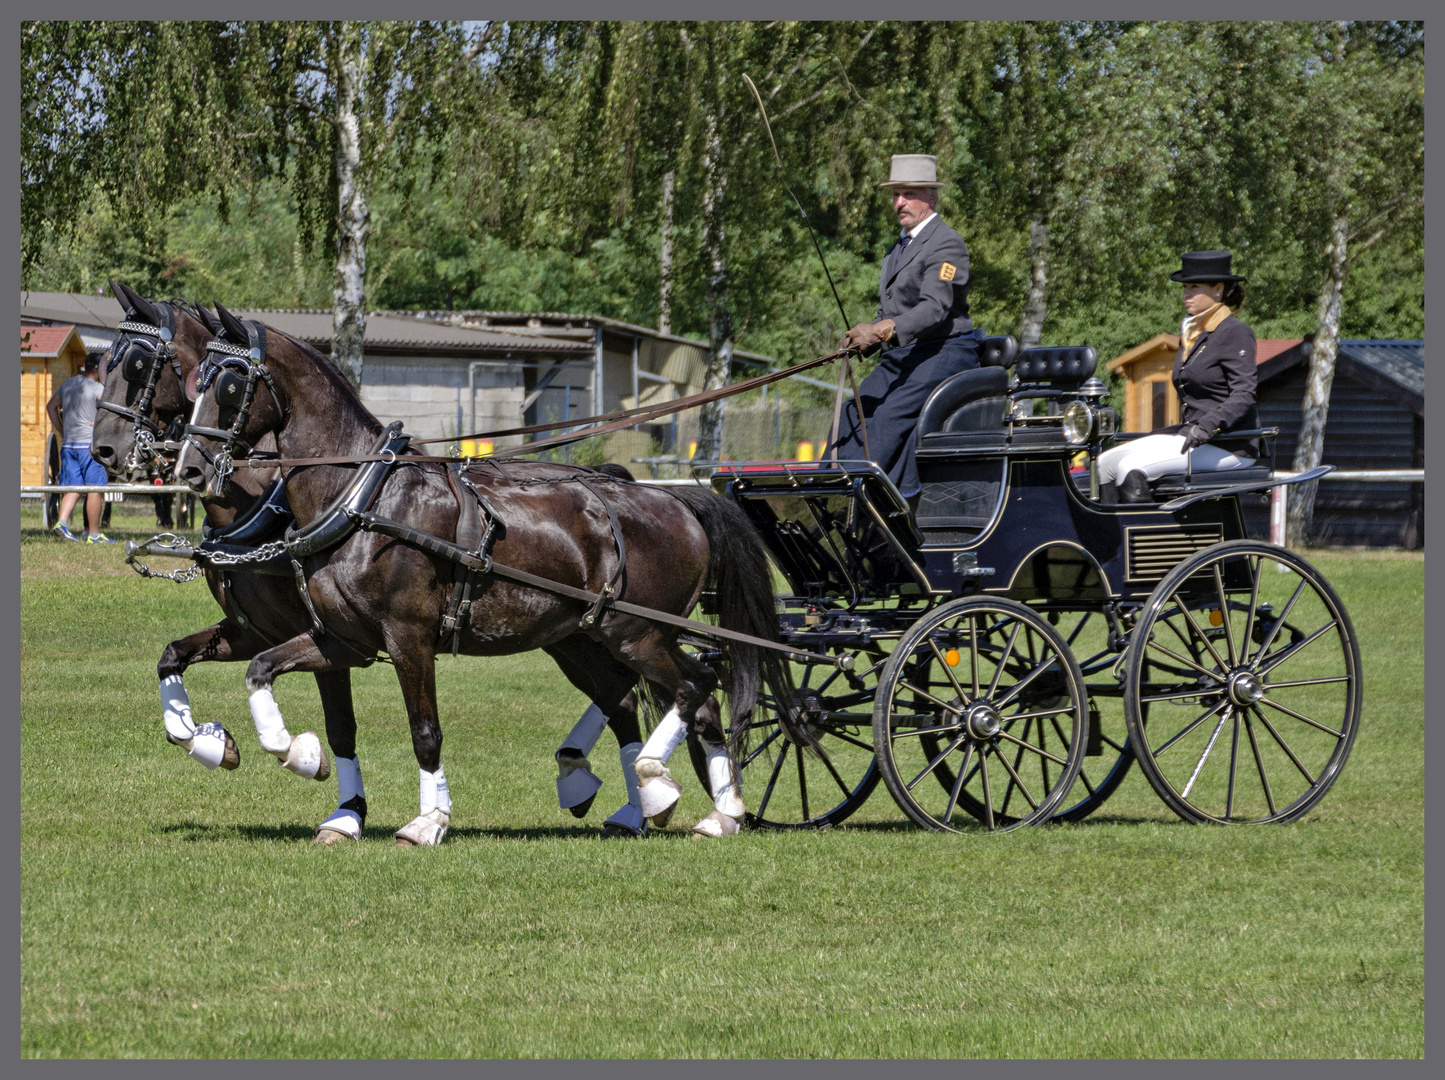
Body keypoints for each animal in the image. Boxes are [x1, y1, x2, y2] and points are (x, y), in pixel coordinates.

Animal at [174, 302, 797, 844]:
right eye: (193, 381)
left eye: (228, 384)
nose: (189, 469)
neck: (363, 499)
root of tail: (676, 501)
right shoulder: (341, 641)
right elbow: (260, 669)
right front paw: (292, 751)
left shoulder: (408, 638)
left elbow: (425, 732)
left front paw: (428, 822)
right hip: (584, 638)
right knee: (664, 699)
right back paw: (705, 812)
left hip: (638, 632)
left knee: (696, 685)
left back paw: (658, 782)